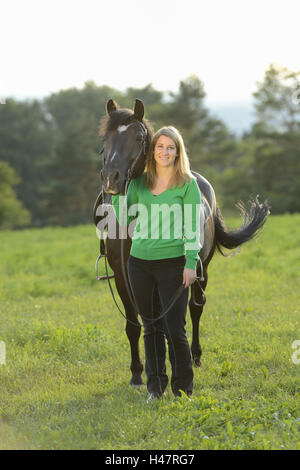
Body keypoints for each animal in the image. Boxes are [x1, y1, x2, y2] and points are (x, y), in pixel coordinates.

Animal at [94, 98, 270, 386]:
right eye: (105, 138)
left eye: (138, 137)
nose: (111, 178)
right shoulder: (123, 275)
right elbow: (134, 324)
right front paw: (137, 374)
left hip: (201, 270)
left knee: (195, 308)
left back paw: (195, 356)